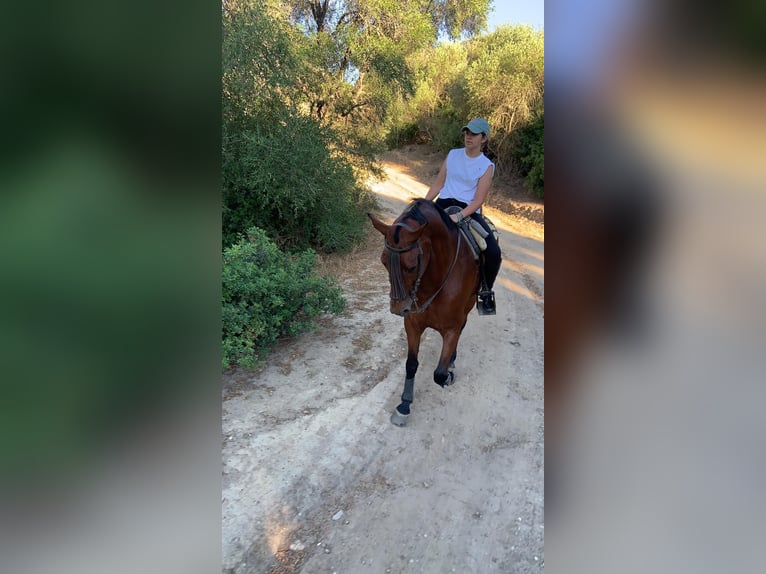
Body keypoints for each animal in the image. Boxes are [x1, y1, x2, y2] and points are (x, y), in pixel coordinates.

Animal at [370, 200, 480, 426]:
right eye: (384, 262)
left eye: (412, 267)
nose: (398, 309)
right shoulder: (412, 325)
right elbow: (411, 364)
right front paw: (404, 405)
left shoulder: (452, 328)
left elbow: (439, 374)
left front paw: (448, 374)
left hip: (469, 305)